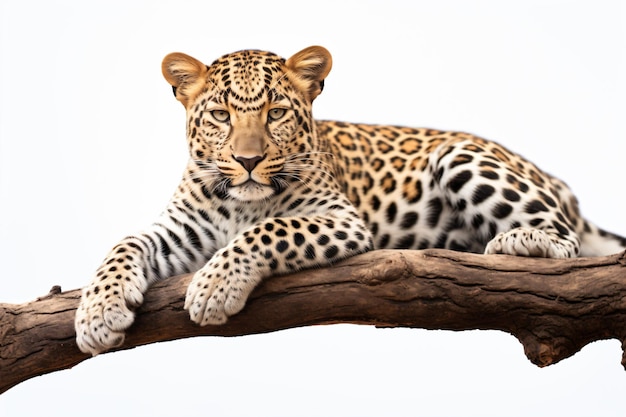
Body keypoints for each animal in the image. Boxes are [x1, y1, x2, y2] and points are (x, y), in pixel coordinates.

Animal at [75, 45, 624, 354]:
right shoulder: (180, 231)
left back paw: (518, 241)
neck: (239, 202)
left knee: (566, 240)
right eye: (221, 116)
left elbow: (268, 229)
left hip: (462, 156)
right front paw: (97, 313)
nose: (248, 160)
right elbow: (123, 244)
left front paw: (214, 287)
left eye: (276, 113)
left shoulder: (340, 219)